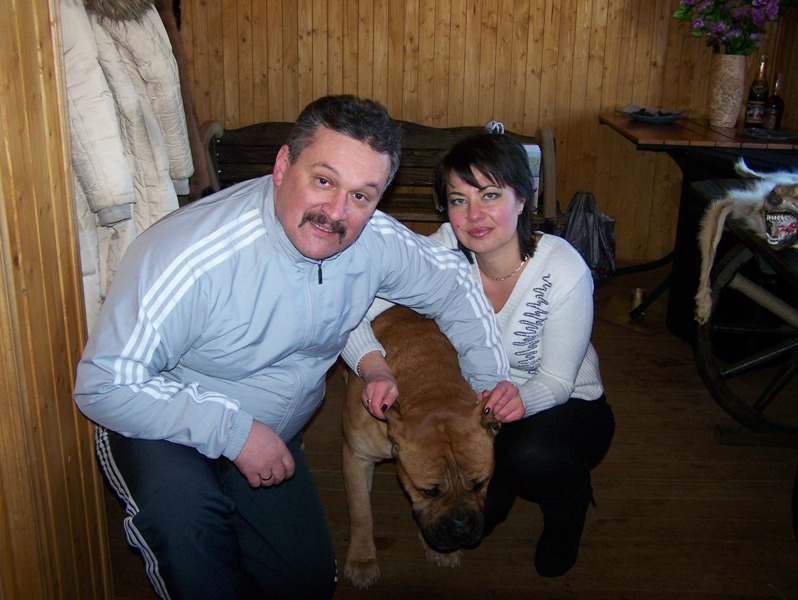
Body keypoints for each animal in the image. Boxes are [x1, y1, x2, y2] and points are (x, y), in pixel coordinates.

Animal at [341, 305, 500, 590]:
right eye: (428, 491)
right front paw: (362, 561)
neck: (430, 388)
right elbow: (361, 514)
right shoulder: (357, 457)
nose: (460, 528)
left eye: (480, 484)